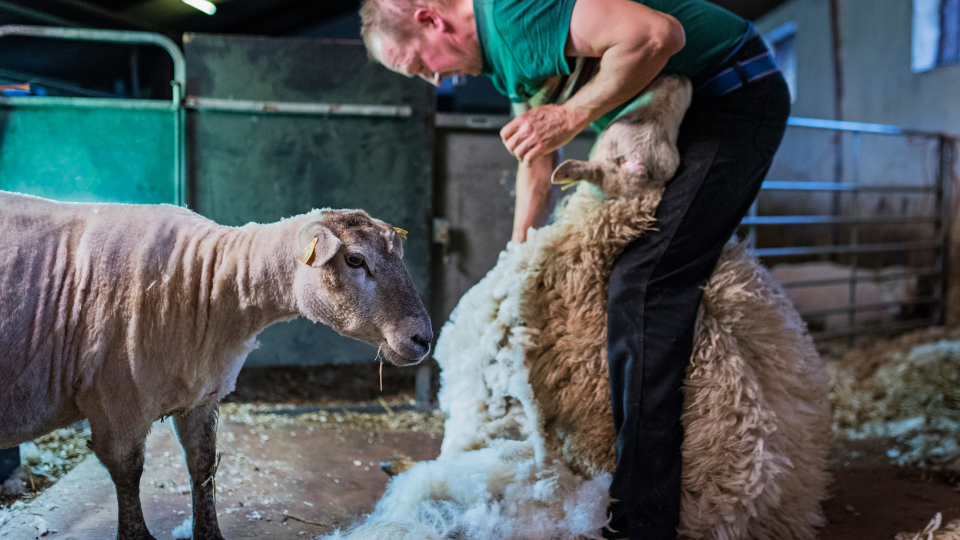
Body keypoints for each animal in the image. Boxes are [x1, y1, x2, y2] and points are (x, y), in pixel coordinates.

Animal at [0, 191, 432, 540]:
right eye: (355, 259)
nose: (424, 339)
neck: (207, 280)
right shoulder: (117, 405)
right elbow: (128, 472)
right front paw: (136, 535)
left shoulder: (200, 395)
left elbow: (203, 466)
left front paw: (209, 533)